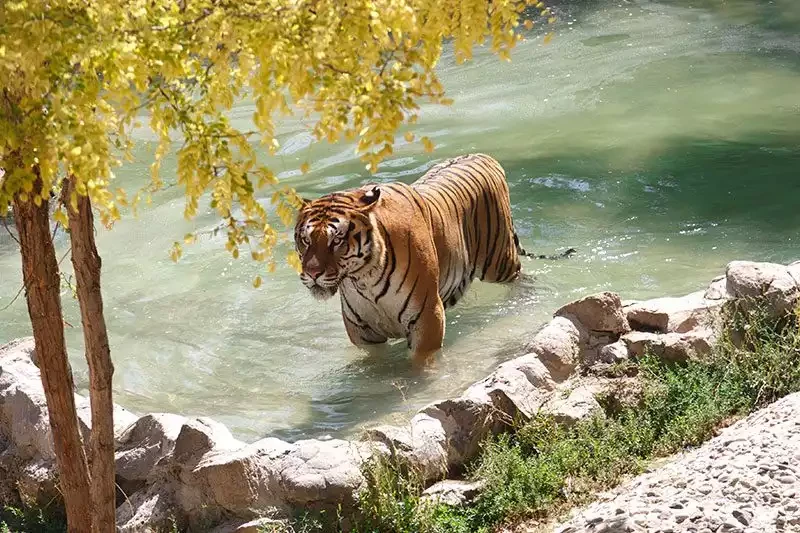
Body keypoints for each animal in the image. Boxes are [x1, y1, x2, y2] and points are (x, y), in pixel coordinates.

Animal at [294, 152, 576, 364]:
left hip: (499, 261)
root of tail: (484, 156)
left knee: (521, 277)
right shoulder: (362, 331)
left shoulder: (426, 317)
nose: (312, 274)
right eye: (305, 240)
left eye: (337, 240)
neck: (363, 278)